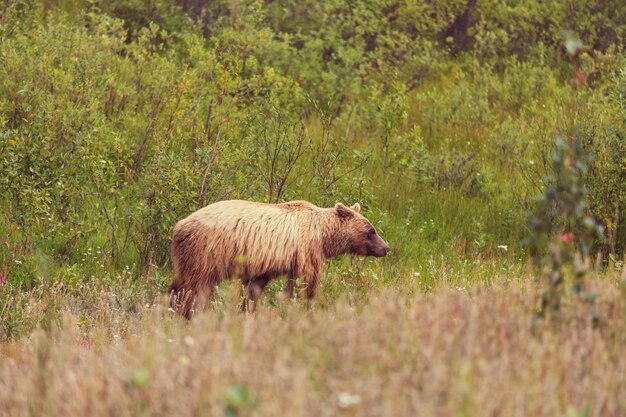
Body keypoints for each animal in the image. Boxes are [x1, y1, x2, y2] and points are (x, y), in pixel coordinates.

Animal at [168, 200, 388, 316]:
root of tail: (179, 226)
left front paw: (249, 309)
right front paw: (308, 308)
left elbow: (260, 288)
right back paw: (188, 312)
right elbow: (308, 282)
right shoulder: (306, 249)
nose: (386, 247)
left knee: (180, 283)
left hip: (189, 256)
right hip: (206, 252)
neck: (323, 235)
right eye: (371, 231)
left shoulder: (277, 262)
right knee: (196, 287)